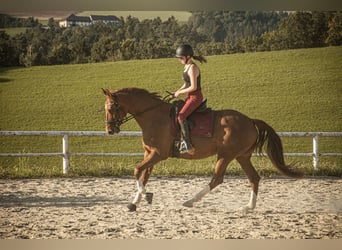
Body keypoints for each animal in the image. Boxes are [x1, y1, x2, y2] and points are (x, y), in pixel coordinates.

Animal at [101, 87, 302, 212]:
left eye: (112, 107)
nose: (110, 130)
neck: (153, 115)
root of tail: (250, 120)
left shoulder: (158, 154)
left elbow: (137, 170)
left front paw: (147, 196)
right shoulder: (149, 153)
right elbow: (143, 175)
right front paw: (134, 203)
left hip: (226, 155)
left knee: (217, 179)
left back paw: (190, 201)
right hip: (242, 156)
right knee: (254, 178)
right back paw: (248, 207)